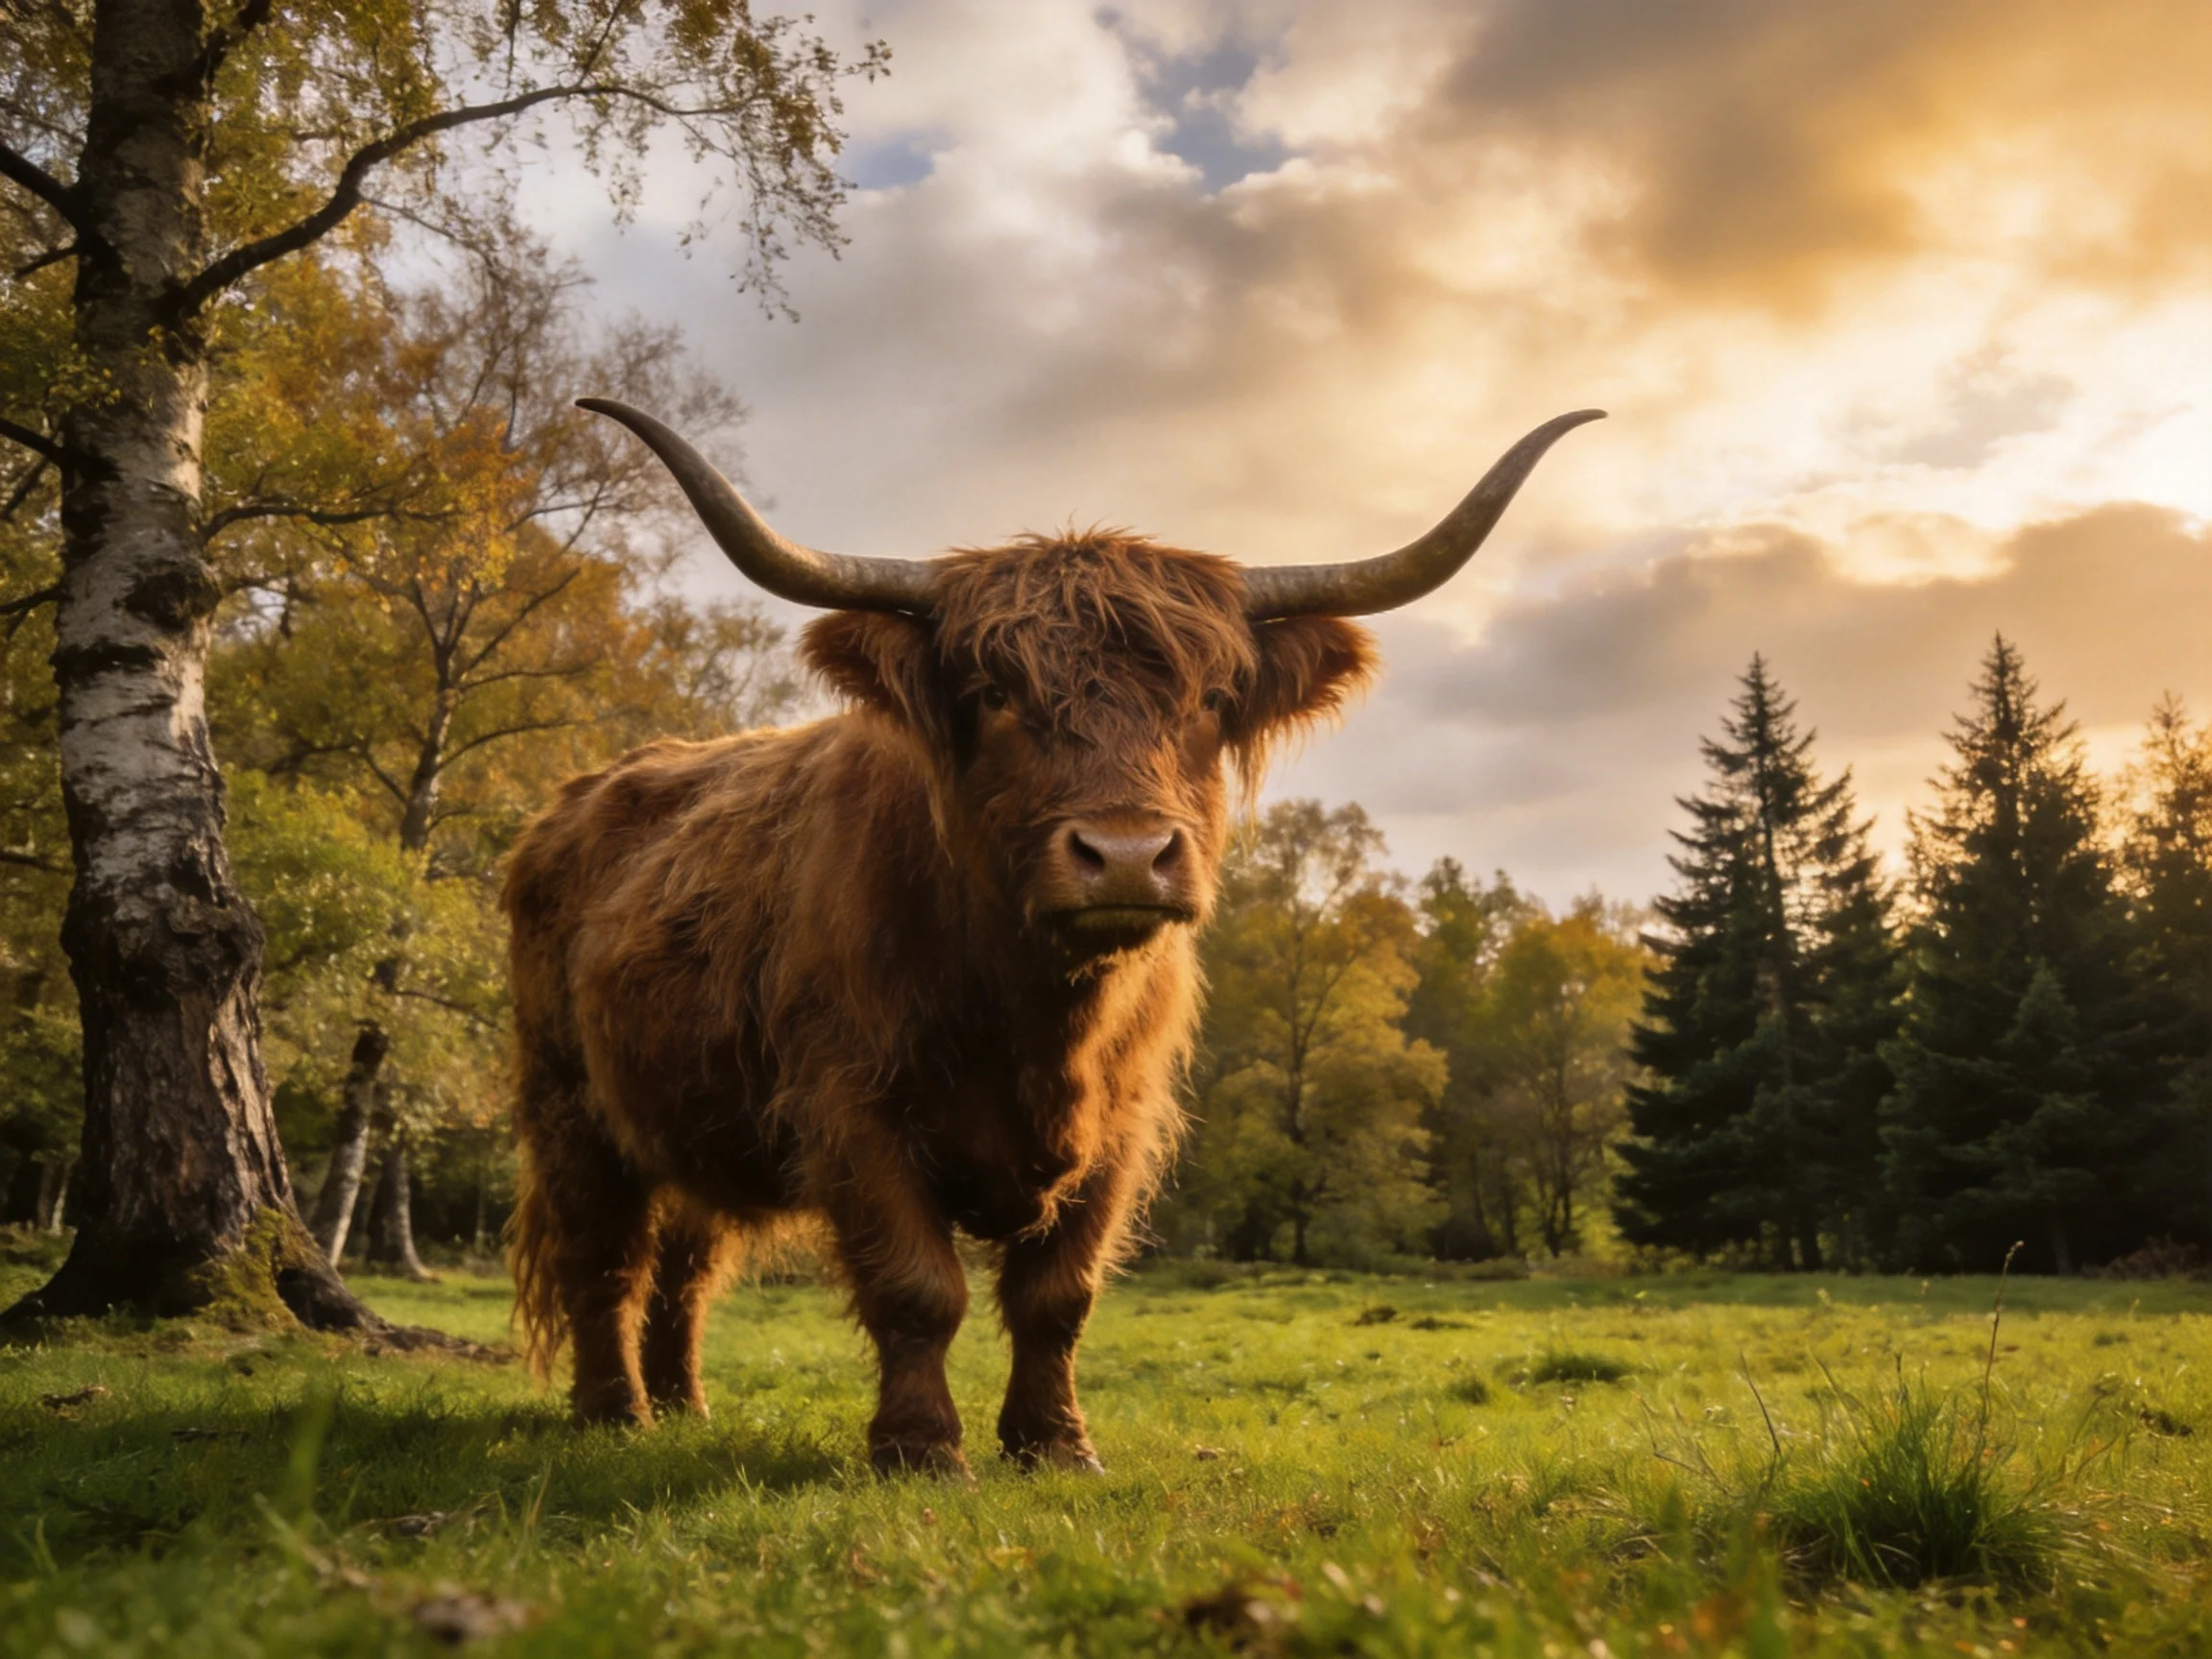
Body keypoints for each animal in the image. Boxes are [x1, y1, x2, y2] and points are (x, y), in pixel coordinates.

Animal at [504, 398, 1600, 1475]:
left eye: (1210, 700)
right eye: (995, 695)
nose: (1125, 854)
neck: (1038, 1017)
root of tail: (570, 802)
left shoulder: (1123, 1126)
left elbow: (1058, 1297)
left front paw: (1054, 1444)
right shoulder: (853, 1108)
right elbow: (917, 1287)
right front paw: (920, 1450)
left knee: (686, 1266)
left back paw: (682, 1404)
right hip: (570, 1108)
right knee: (604, 1258)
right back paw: (615, 1414)